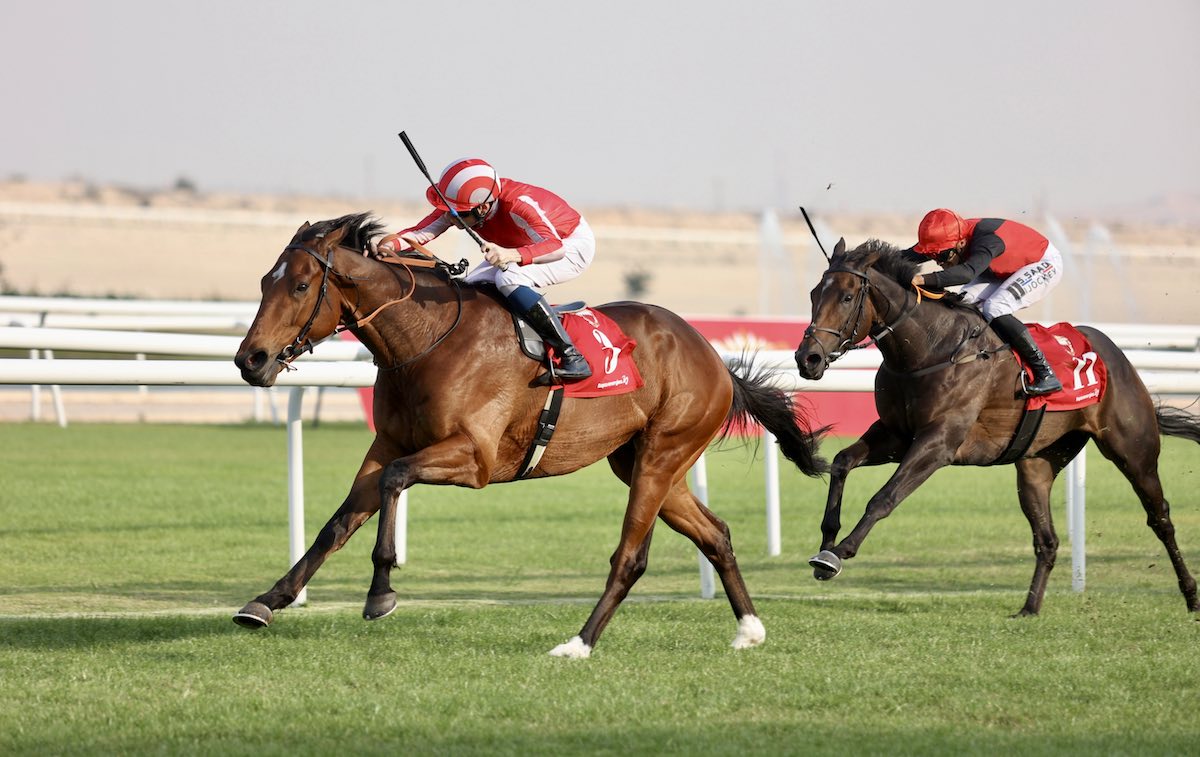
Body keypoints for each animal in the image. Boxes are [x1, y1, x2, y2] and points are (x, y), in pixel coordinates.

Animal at [230, 213, 830, 657]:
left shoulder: (472, 459)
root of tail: (713, 357)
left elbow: (394, 483)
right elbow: (338, 522)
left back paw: (578, 644)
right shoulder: (389, 445)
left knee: (630, 558)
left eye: (301, 285)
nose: (249, 360)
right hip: (644, 462)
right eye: (262, 282)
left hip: (665, 452)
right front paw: (266, 601)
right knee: (715, 534)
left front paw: (381, 591)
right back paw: (749, 629)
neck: (427, 339)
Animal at [796, 239, 1200, 619]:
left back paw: (1191, 595)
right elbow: (842, 462)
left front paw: (838, 554)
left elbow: (884, 498)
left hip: (1133, 451)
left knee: (1160, 518)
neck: (930, 348)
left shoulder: (938, 443)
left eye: (847, 296)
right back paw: (1029, 608)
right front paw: (826, 540)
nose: (807, 358)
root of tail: (1117, 356)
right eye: (814, 294)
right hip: (1037, 464)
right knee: (1047, 540)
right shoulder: (895, 434)